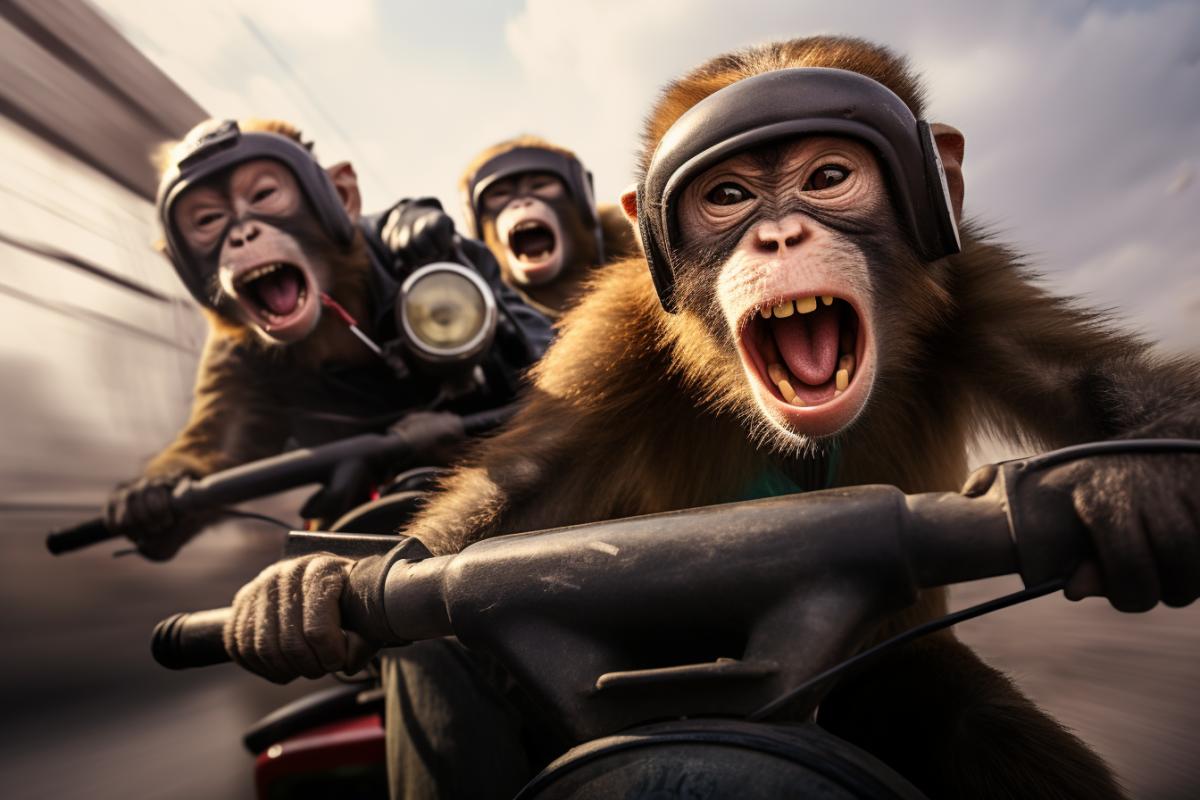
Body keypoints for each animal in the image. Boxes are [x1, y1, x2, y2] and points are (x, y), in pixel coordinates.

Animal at [105, 117, 553, 560]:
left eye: (265, 195)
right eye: (208, 220)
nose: (243, 236)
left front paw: (412, 225)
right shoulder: (234, 352)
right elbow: (226, 439)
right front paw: (153, 496)